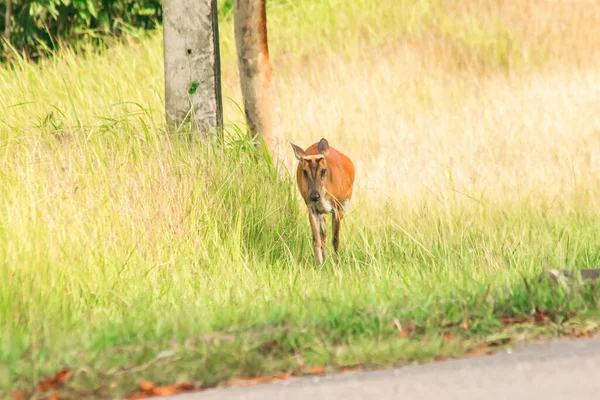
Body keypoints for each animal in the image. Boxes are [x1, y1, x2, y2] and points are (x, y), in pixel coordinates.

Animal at [290, 138, 354, 266]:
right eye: (304, 171)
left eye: (323, 171)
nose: (314, 196)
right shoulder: (311, 208)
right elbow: (316, 239)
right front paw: (319, 264)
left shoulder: (337, 206)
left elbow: (335, 239)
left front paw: (337, 263)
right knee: (323, 232)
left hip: (345, 202)